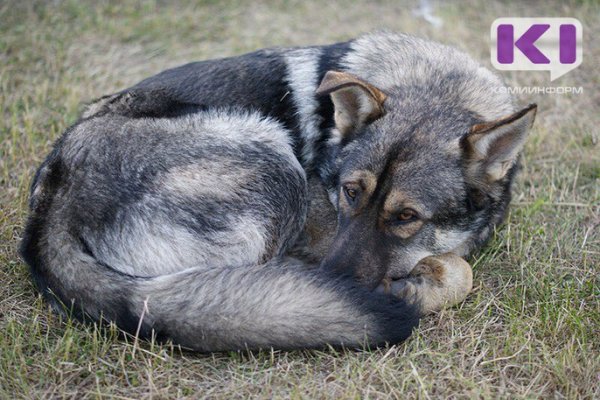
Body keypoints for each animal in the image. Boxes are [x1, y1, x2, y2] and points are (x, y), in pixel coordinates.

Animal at [18, 31, 536, 350]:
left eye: (407, 217)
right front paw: (418, 285)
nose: (334, 279)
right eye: (350, 192)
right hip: (273, 156)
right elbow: (462, 271)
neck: (437, 82)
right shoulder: (317, 215)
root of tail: (49, 208)